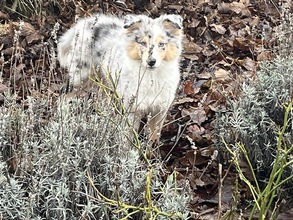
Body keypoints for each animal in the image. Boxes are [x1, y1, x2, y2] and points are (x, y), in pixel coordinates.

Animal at [56, 13, 182, 141]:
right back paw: (63, 120)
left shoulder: (160, 111)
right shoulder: (132, 109)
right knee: (63, 97)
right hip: (81, 76)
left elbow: (153, 138)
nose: (151, 62)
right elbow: (128, 137)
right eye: (143, 43)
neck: (151, 77)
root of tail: (85, 23)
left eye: (161, 44)